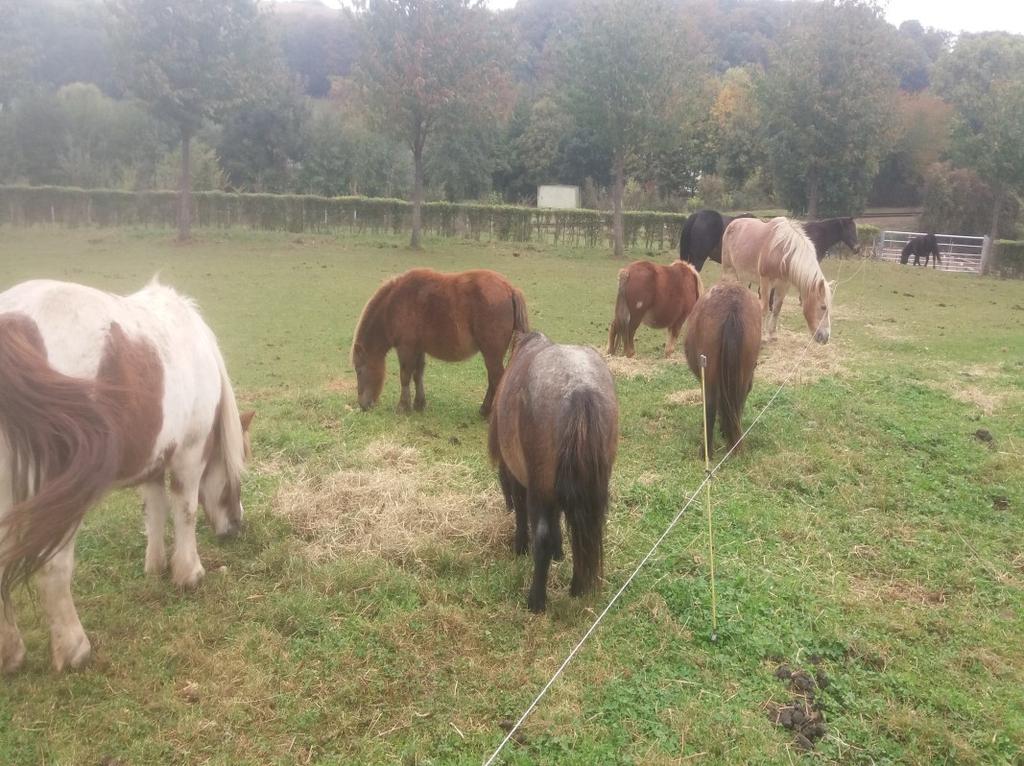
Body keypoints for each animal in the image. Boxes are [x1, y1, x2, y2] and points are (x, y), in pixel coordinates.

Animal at [0, 280, 253, 671]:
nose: (236, 527)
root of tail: (14, 326)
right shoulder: (189, 455)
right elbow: (185, 511)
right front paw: (189, 574)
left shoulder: (152, 462)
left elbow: (155, 512)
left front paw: (155, 567)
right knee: (53, 567)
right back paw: (74, 650)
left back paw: (10, 654)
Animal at [352, 268, 528, 415]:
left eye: (359, 371)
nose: (363, 405)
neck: (394, 305)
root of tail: (509, 289)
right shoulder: (418, 348)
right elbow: (417, 375)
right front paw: (419, 404)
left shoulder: (405, 348)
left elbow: (405, 376)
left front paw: (403, 407)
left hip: (492, 355)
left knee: (496, 379)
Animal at [487, 331, 614, 614]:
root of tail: (579, 388)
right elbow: (558, 519)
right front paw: (559, 552)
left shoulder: (523, 483)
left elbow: (526, 516)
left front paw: (521, 547)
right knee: (585, 534)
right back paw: (578, 587)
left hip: (539, 487)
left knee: (542, 535)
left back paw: (536, 601)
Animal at [684, 284, 765, 458]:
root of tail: (732, 305)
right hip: (742, 376)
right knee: (737, 402)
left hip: (709, 376)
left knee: (710, 407)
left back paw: (707, 452)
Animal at [720, 217, 831, 346]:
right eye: (823, 307)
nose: (825, 338)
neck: (782, 252)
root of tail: (733, 223)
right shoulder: (765, 282)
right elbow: (764, 309)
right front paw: (762, 337)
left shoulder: (783, 285)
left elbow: (777, 309)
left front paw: (772, 335)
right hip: (729, 271)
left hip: (742, 275)